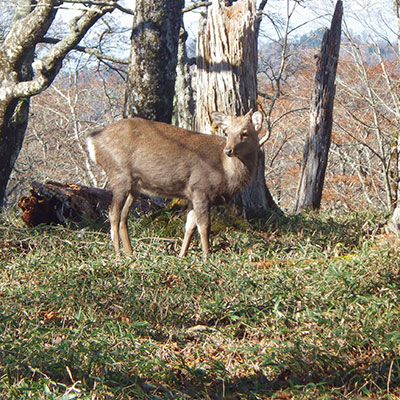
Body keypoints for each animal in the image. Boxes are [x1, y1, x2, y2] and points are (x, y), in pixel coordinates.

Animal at [86, 111, 264, 258]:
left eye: (245, 133)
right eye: (226, 132)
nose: (228, 150)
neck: (225, 172)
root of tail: (92, 140)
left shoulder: (192, 195)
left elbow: (189, 226)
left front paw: (182, 255)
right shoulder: (200, 188)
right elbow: (204, 226)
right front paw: (206, 257)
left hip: (134, 187)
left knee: (123, 215)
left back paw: (130, 253)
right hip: (119, 174)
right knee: (113, 213)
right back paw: (118, 255)